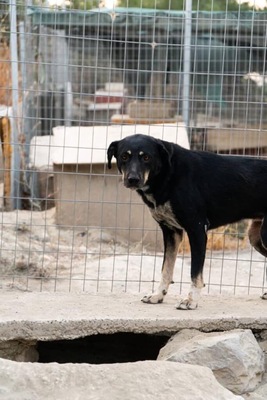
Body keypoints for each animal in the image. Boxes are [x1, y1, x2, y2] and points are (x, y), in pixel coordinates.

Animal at [108, 134, 266, 310]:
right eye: (124, 156)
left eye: (146, 157)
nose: (133, 179)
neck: (168, 174)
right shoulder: (171, 232)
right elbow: (166, 269)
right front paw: (158, 295)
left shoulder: (197, 230)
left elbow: (195, 273)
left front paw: (191, 300)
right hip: (256, 237)